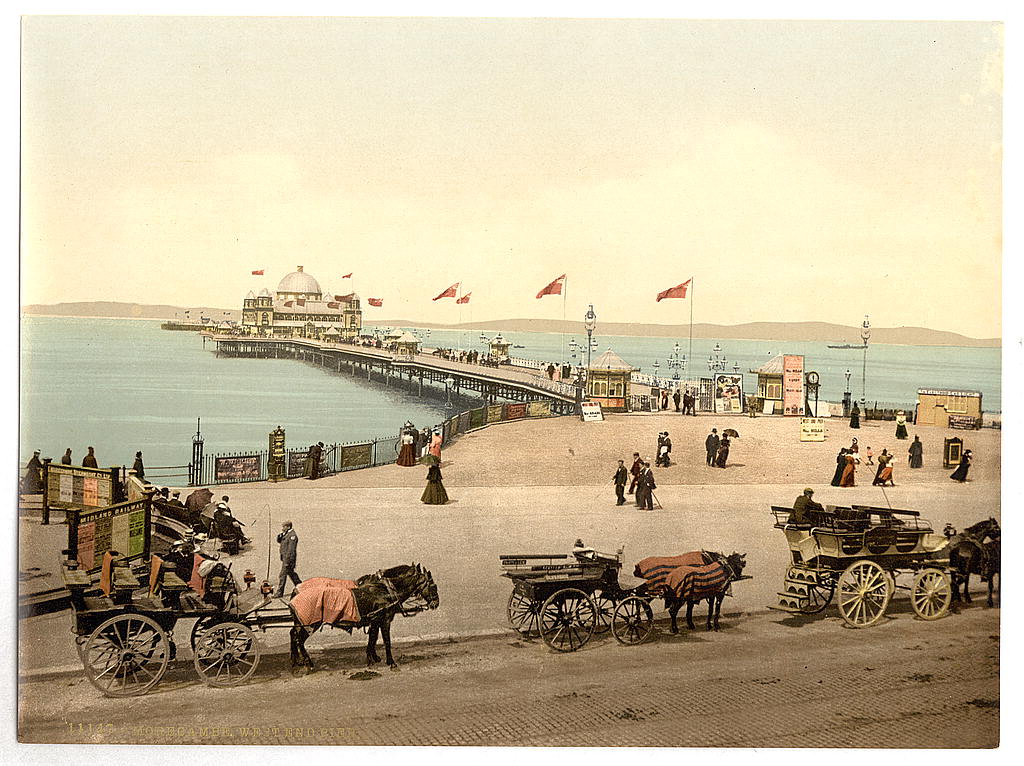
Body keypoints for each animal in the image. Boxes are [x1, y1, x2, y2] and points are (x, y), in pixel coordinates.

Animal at [286, 561, 438, 671]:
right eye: (433, 586)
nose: (436, 603)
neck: (386, 590)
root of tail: (295, 592)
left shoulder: (375, 620)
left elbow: (373, 638)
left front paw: (372, 658)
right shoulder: (384, 620)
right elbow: (386, 640)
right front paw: (390, 662)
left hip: (301, 623)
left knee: (293, 634)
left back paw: (296, 660)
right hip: (310, 624)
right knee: (299, 639)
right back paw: (307, 662)